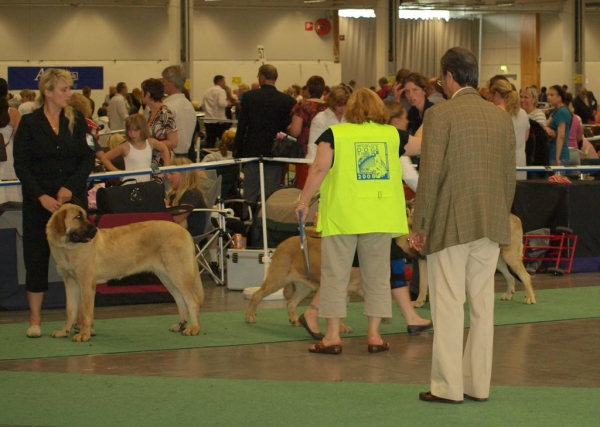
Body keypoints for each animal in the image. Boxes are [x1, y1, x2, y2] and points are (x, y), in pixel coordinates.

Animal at [45, 205, 204, 344]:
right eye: (78, 217)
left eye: (84, 216)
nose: (95, 230)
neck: (66, 247)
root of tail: (184, 231)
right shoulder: (70, 283)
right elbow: (70, 310)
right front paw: (64, 331)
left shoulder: (86, 284)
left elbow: (85, 312)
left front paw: (84, 334)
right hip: (167, 277)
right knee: (181, 300)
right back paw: (181, 325)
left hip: (178, 274)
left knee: (193, 301)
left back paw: (194, 328)